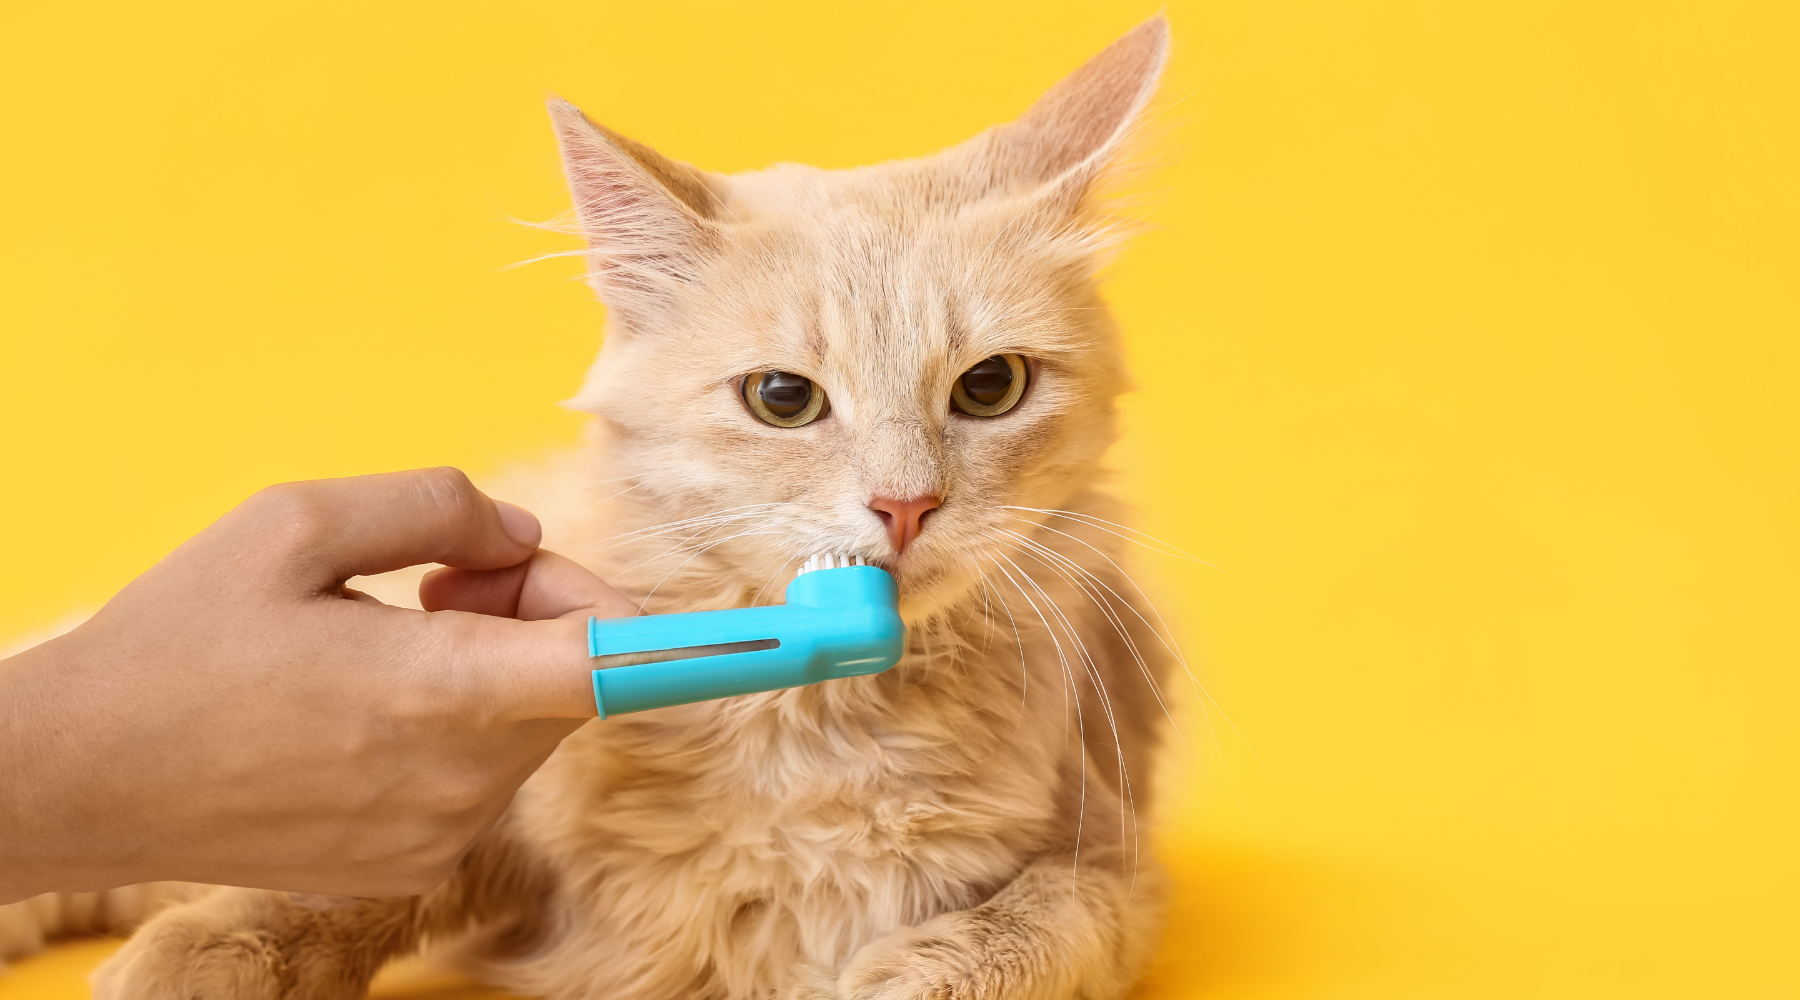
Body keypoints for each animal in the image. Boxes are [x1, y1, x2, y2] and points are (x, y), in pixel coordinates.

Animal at [7, 17, 1188, 1000]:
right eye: (783, 399)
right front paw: (200, 955)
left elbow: (1035, 928)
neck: (821, 728)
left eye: (990, 388)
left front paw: (899, 975)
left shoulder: (1108, 859)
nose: (905, 505)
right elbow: (348, 890)